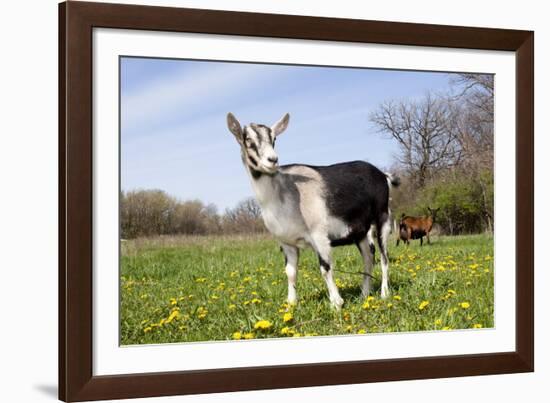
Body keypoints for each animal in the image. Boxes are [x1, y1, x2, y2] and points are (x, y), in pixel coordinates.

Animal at [225, 112, 402, 308]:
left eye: (274, 138)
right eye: (247, 139)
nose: (272, 160)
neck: (283, 193)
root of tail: (383, 175)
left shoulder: (319, 236)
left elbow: (325, 268)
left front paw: (336, 303)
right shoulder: (287, 243)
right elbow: (290, 272)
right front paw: (291, 303)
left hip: (382, 218)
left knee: (384, 257)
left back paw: (384, 293)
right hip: (361, 232)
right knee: (369, 258)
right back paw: (364, 294)